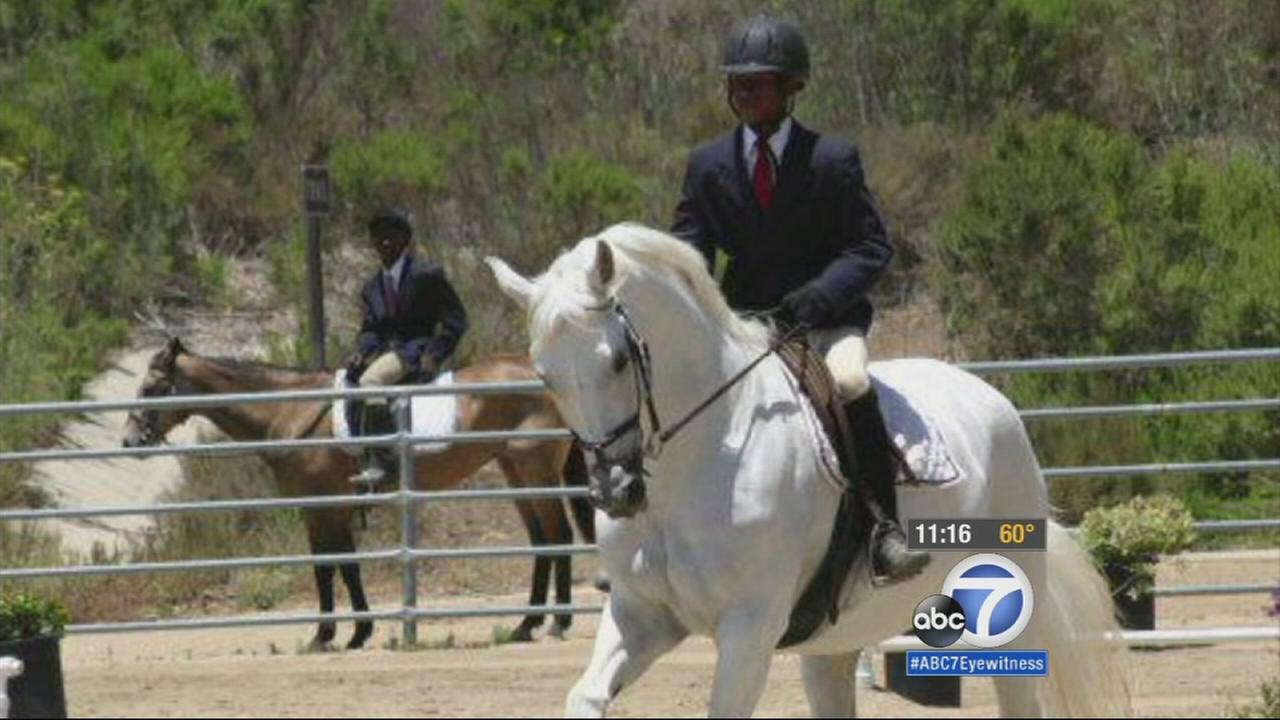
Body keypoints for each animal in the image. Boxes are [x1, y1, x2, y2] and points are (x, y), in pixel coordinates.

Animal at [122, 338, 595, 649]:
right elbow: (346, 565)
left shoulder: (320, 506)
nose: (129, 441)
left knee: (558, 536)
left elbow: (327, 566)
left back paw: (557, 623)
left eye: (151, 389)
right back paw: (526, 625)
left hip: (536, 471)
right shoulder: (334, 507)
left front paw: (327, 634)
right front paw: (358, 632)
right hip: (516, 472)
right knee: (542, 543)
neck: (289, 410)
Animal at [487, 222, 1131, 717]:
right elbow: (586, 697)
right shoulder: (640, 615)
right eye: (543, 375)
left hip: (1009, 609)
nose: (616, 491)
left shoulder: (750, 625)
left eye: (620, 360)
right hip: (832, 643)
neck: (691, 469)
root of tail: (991, 398)